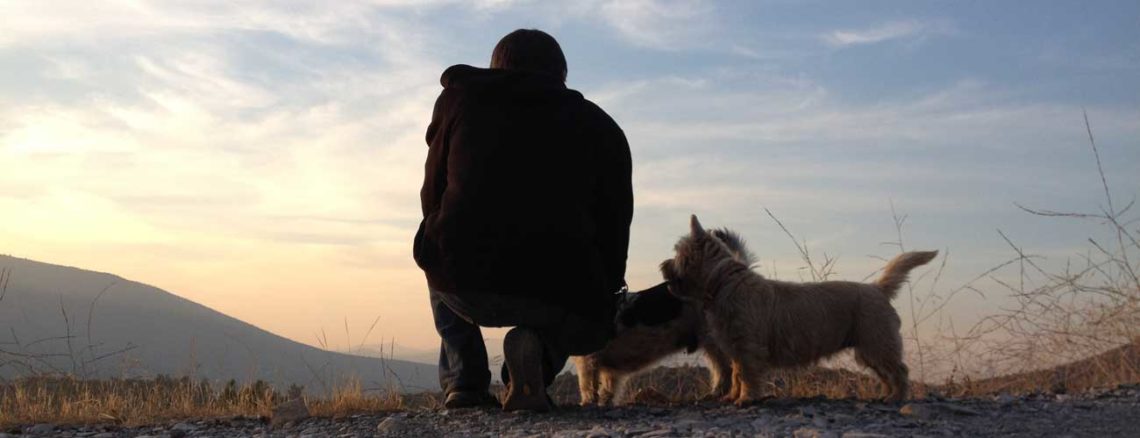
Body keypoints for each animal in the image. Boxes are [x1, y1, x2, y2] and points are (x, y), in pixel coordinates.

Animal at [574, 229, 752, 406]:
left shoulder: (588, 360)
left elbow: (587, 385)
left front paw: (587, 403)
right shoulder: (607, 369)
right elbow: (607, 388)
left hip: (712, 340)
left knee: (726, 368)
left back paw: (715, 394)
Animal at [661, 215, 934, 403]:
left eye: (677, 252)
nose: (662, 267)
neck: (723, 281)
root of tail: (878, 288)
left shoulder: (748, 347)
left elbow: (747, 374)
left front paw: (746, 399)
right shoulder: (735, 348)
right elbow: (737, 373)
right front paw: (733, 397)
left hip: (878, 343)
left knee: (899, 370)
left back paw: (897, 397)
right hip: (869, 350)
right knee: (886, 373)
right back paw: (885, 395)